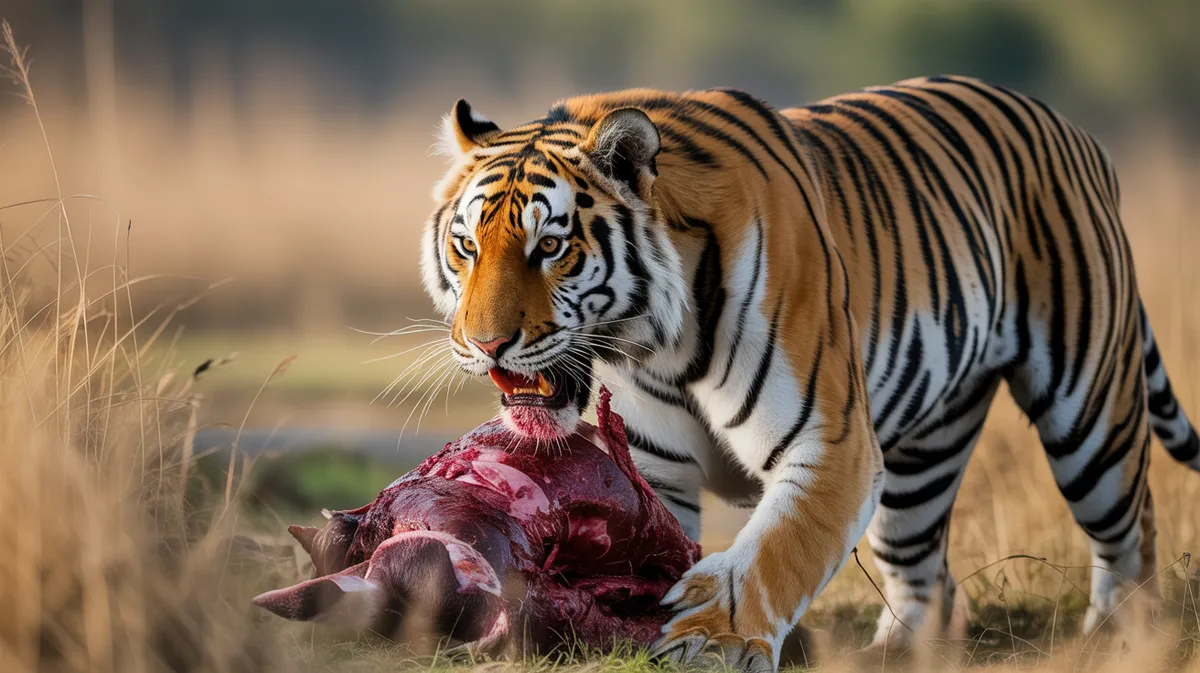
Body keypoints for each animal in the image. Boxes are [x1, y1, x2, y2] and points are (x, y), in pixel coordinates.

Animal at [418, 75, 1200, 670]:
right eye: (465, 246)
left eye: (550, 246)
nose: (485, 344)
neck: (654, 345)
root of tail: (1073, 129)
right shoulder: (655, 470)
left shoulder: (830, 442)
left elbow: (773, 552)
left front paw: (712, 641)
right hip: (924, 458)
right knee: (924, 571)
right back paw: (894, 652)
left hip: (1090, 413)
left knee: (1131, 532)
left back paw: (1121, 639)